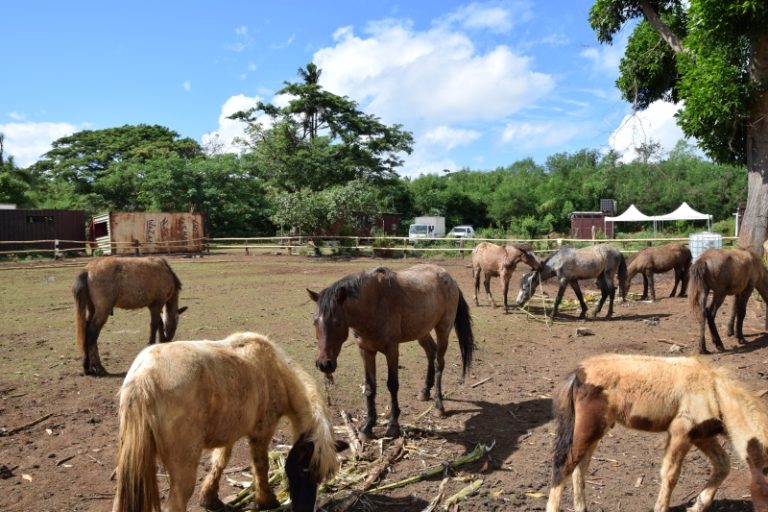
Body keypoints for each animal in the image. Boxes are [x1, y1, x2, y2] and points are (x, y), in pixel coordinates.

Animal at [112, 332, 348, 512]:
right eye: (305, 470)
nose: (305, 508)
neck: (275, 370)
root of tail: (144, 376)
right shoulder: (262, 431)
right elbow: (261, 465)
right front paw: (266, 501)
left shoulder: (231, 431)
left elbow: (220, 461)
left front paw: (210, 499)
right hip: (183, 467)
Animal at [307, 264, 475, 440]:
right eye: (315, 322)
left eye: (338, 323)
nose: (324, 364)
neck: (373, 304)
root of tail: (449, 277)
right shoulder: (366, 351)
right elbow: (369, 387)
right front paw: (367, 426)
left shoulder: (392, 350)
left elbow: (392, 385)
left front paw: (393, 425)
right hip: (422, 331)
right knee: (431, 352)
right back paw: (425, 392)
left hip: (443, 329)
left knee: (438, 363)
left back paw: (439, 405)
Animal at [547, 353, 768, 512]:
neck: (715, 391)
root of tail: (580, 372)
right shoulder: (680, 433)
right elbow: (670, 474)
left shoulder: (701, 436)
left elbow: (723, 464)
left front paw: (697, 506)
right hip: (589, 428)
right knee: (565, 465)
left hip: (595, 431)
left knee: (580, 467)